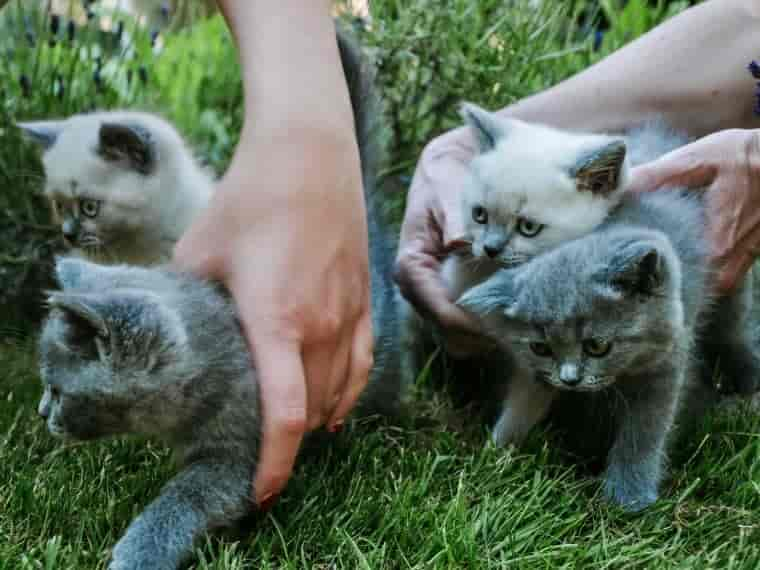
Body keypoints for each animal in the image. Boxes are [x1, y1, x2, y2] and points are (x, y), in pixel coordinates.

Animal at [458, 187, 760, 510]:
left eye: (597, 346)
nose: (570, 379)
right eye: (540, 348)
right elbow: (524, 399)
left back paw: (745, 378)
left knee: (733, 329)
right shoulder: (537, 372)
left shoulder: (665, 363)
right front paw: (499, 452)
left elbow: (644, 430)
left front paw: (629, 496)